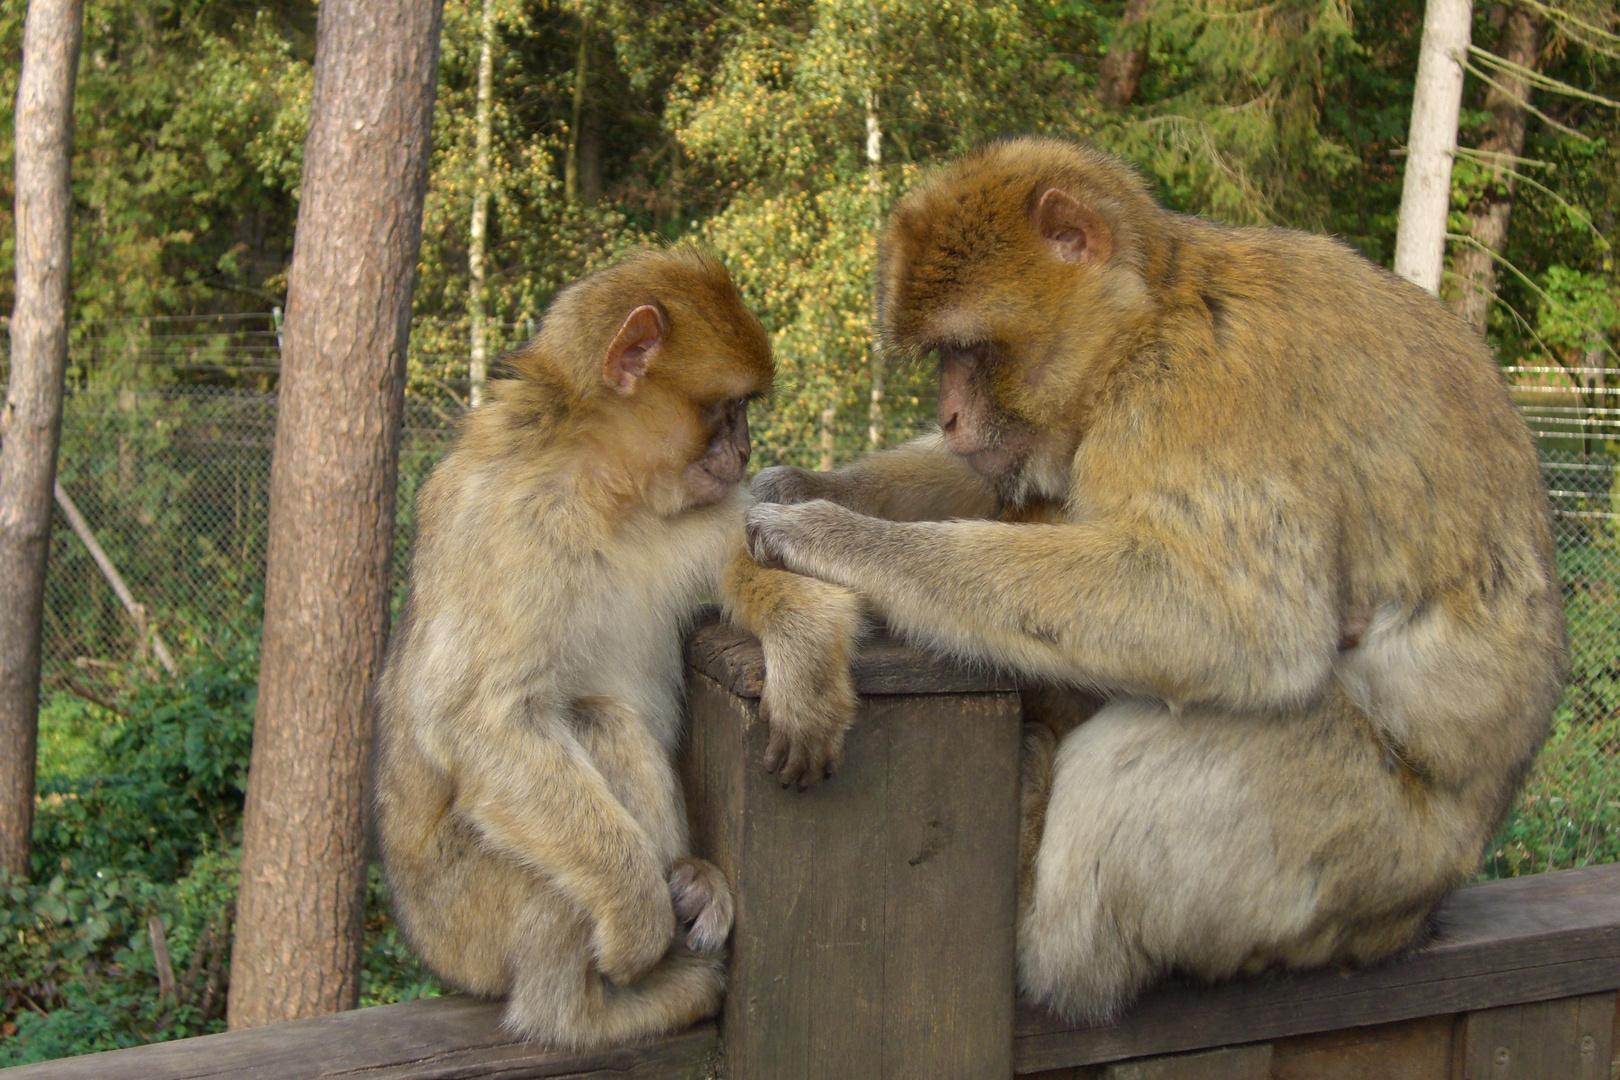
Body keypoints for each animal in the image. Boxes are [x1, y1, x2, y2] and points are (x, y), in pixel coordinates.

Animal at [374, 247, 868, 1049]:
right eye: (730, 409)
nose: (745, 449)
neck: (609, 491)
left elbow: (750, 556)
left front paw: (806, 647)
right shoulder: (506, 519)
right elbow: (479, 720)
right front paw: (638, 916)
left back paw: (691, 885)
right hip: (470, 915)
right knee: (594, 720)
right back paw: (600, 1003)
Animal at [748, 141, 1568, 1023]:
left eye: (966, 350)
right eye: (941, 359)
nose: (951, 419)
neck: (1148, 321)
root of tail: (1413, 919)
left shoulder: (1202, 395)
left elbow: (1237, 619)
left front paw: (835, 536)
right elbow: (998, 484)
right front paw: (805, 483)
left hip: (1368, 854)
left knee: (1164, 750)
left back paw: (1045, 925)